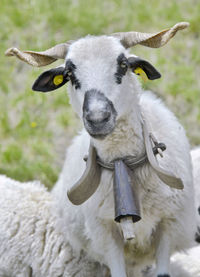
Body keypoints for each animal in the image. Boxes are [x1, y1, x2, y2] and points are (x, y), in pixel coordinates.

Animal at [5, 22, 197, 276]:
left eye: (123, 64)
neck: (123, 161)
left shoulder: (168, 227)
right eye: (69, 75)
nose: (97, 118)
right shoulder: (107, 237)